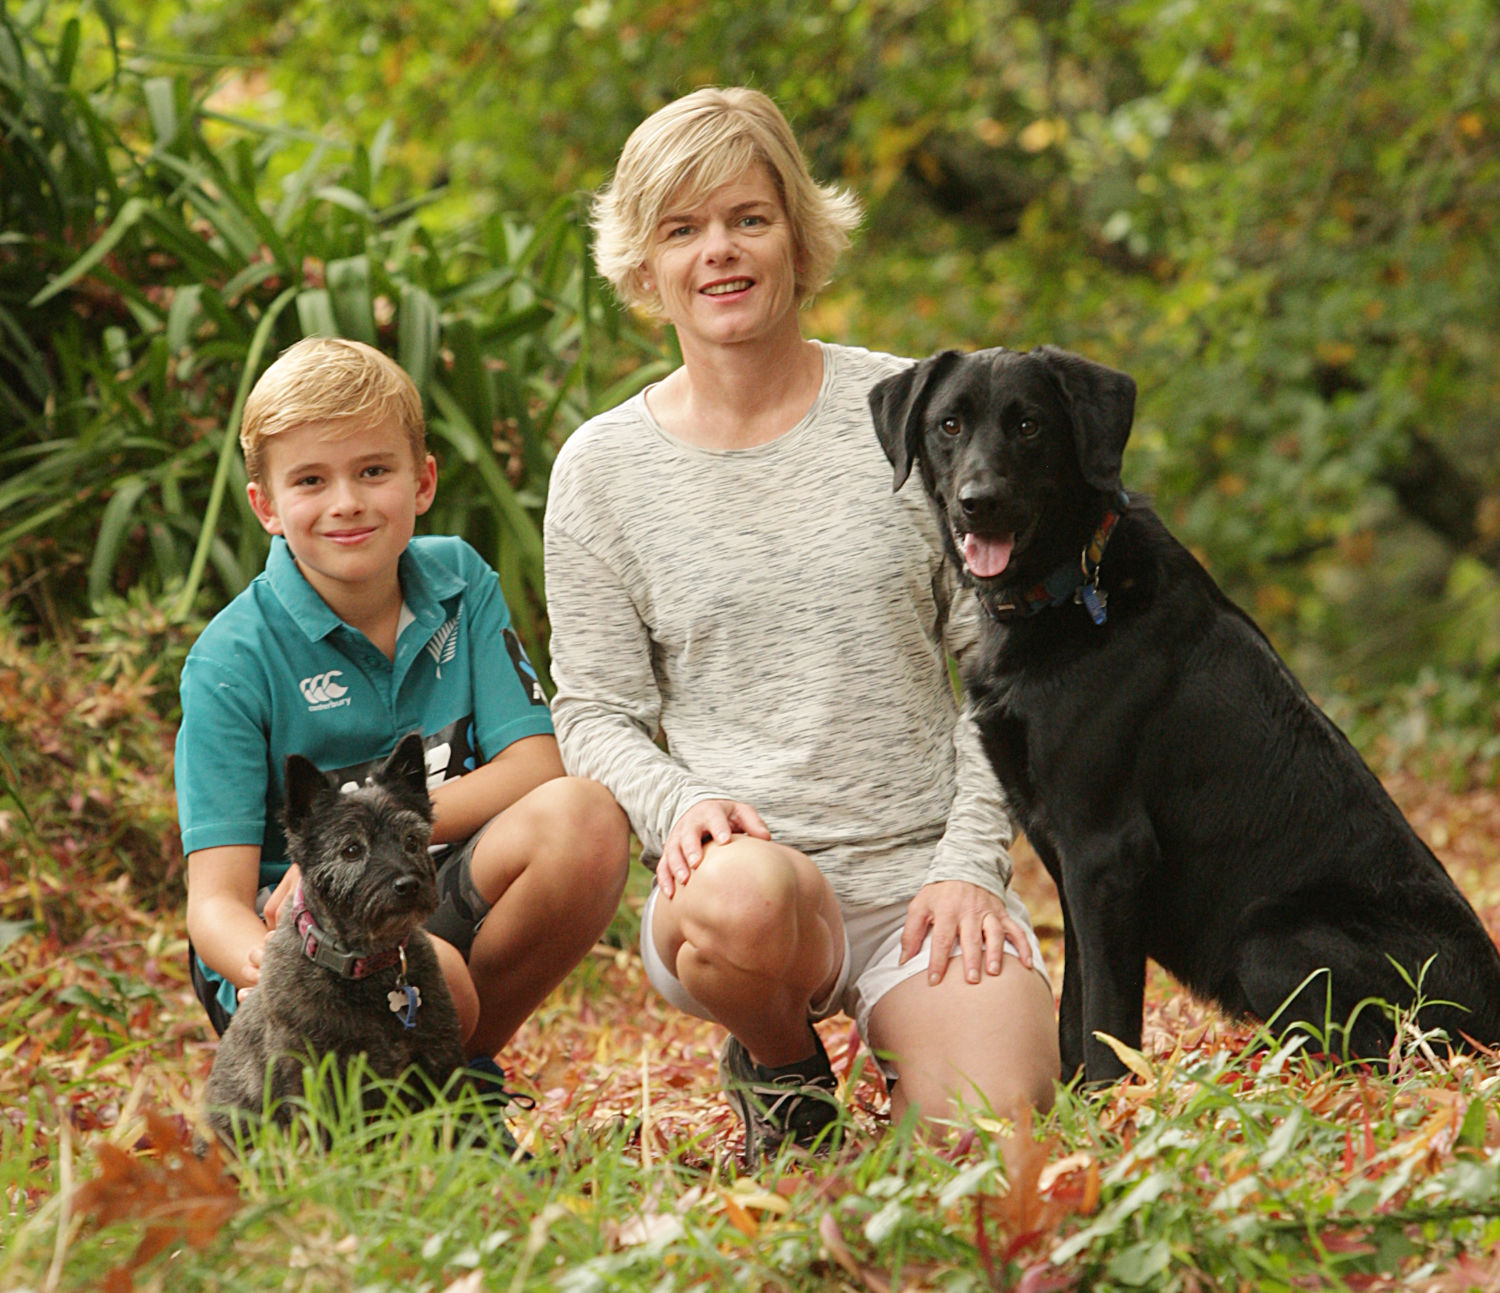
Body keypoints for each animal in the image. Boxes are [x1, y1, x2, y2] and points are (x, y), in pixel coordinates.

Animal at [202, 735, 465, 1152]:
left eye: (411, 840)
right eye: (352, 850)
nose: (407, 885)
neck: (367, 969)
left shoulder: (438, 1055)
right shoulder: (312, 1076)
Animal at [870, 345, 1500, 1086]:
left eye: (1028, 425)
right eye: (949, 425)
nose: (980, 502)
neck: (1070, 588)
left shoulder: (1108, 851)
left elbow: (1106, 1016)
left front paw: (1112, 1106)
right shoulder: (1071, 862)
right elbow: (1074, 1010)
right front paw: (1075, 1103)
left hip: (1271, 937)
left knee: (1381, 1056)